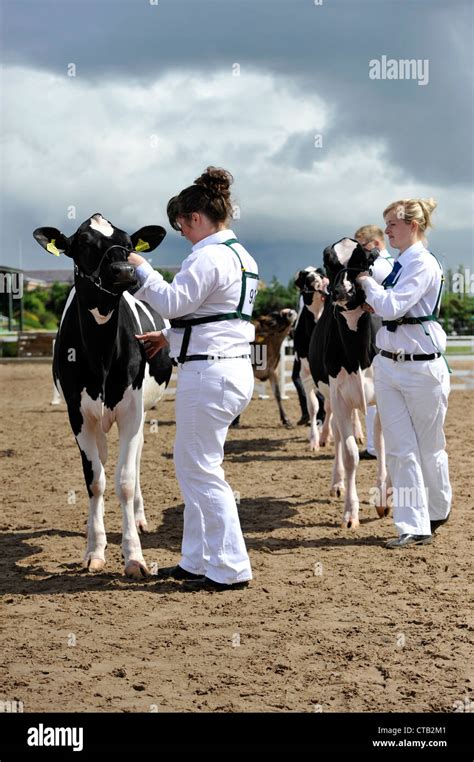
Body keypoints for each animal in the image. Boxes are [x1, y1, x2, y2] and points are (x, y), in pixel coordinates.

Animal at [33, 214, 174, 576]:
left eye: (127, 243)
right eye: (82, 243)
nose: (124, 270)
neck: (100, 353)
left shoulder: (131, 411)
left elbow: (124, 481)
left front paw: (134, 557)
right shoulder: (78, 414)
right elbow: (95, 480)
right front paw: (95, 550)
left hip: (140, 414)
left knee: (134, 462)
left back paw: (138, 518)